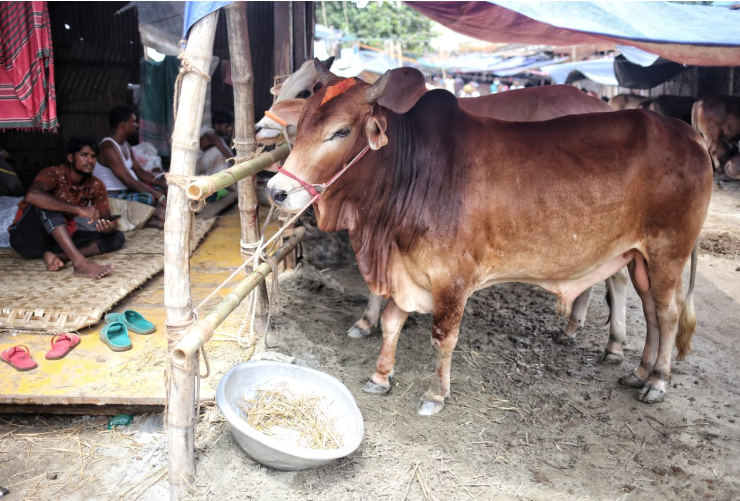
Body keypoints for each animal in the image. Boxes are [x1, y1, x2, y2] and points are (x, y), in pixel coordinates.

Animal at [267, 62, 712, 416]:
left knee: (669, 314)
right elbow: (393, 321)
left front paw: (435, 395)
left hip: (668, 252)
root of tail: (688, 134)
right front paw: (380, 376)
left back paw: (657, 381)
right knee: (651, 311)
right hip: (639, 257)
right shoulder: (406, 267)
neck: (414, 170)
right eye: (302, 122)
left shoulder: (452, 279)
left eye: (341, 131)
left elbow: (442, 338)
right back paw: (638, 371)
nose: (276, 191)